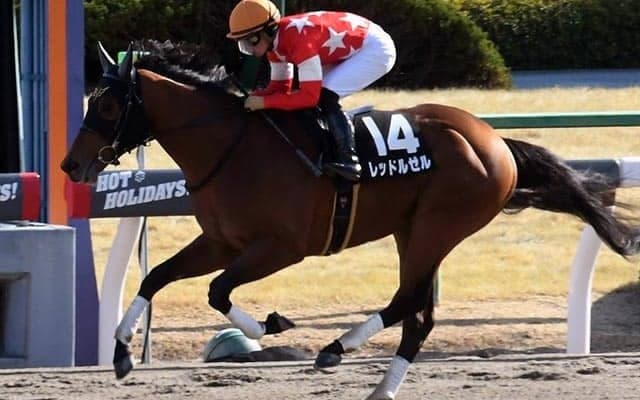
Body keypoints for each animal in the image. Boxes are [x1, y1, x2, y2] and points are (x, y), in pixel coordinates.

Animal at [61, 43, 640, 400]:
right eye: (91, 99)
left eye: (109, 105)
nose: (70, 165)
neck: (232, 145)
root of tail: (494, 140)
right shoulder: (222, 239)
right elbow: (158, 276)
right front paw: (121, 353)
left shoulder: (281, 246)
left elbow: (217, 292)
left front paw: (271, 325)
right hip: (415, 229)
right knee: (420, 313)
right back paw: (378, 385)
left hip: (438, 225)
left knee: (409, 303)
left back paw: (336, 349)